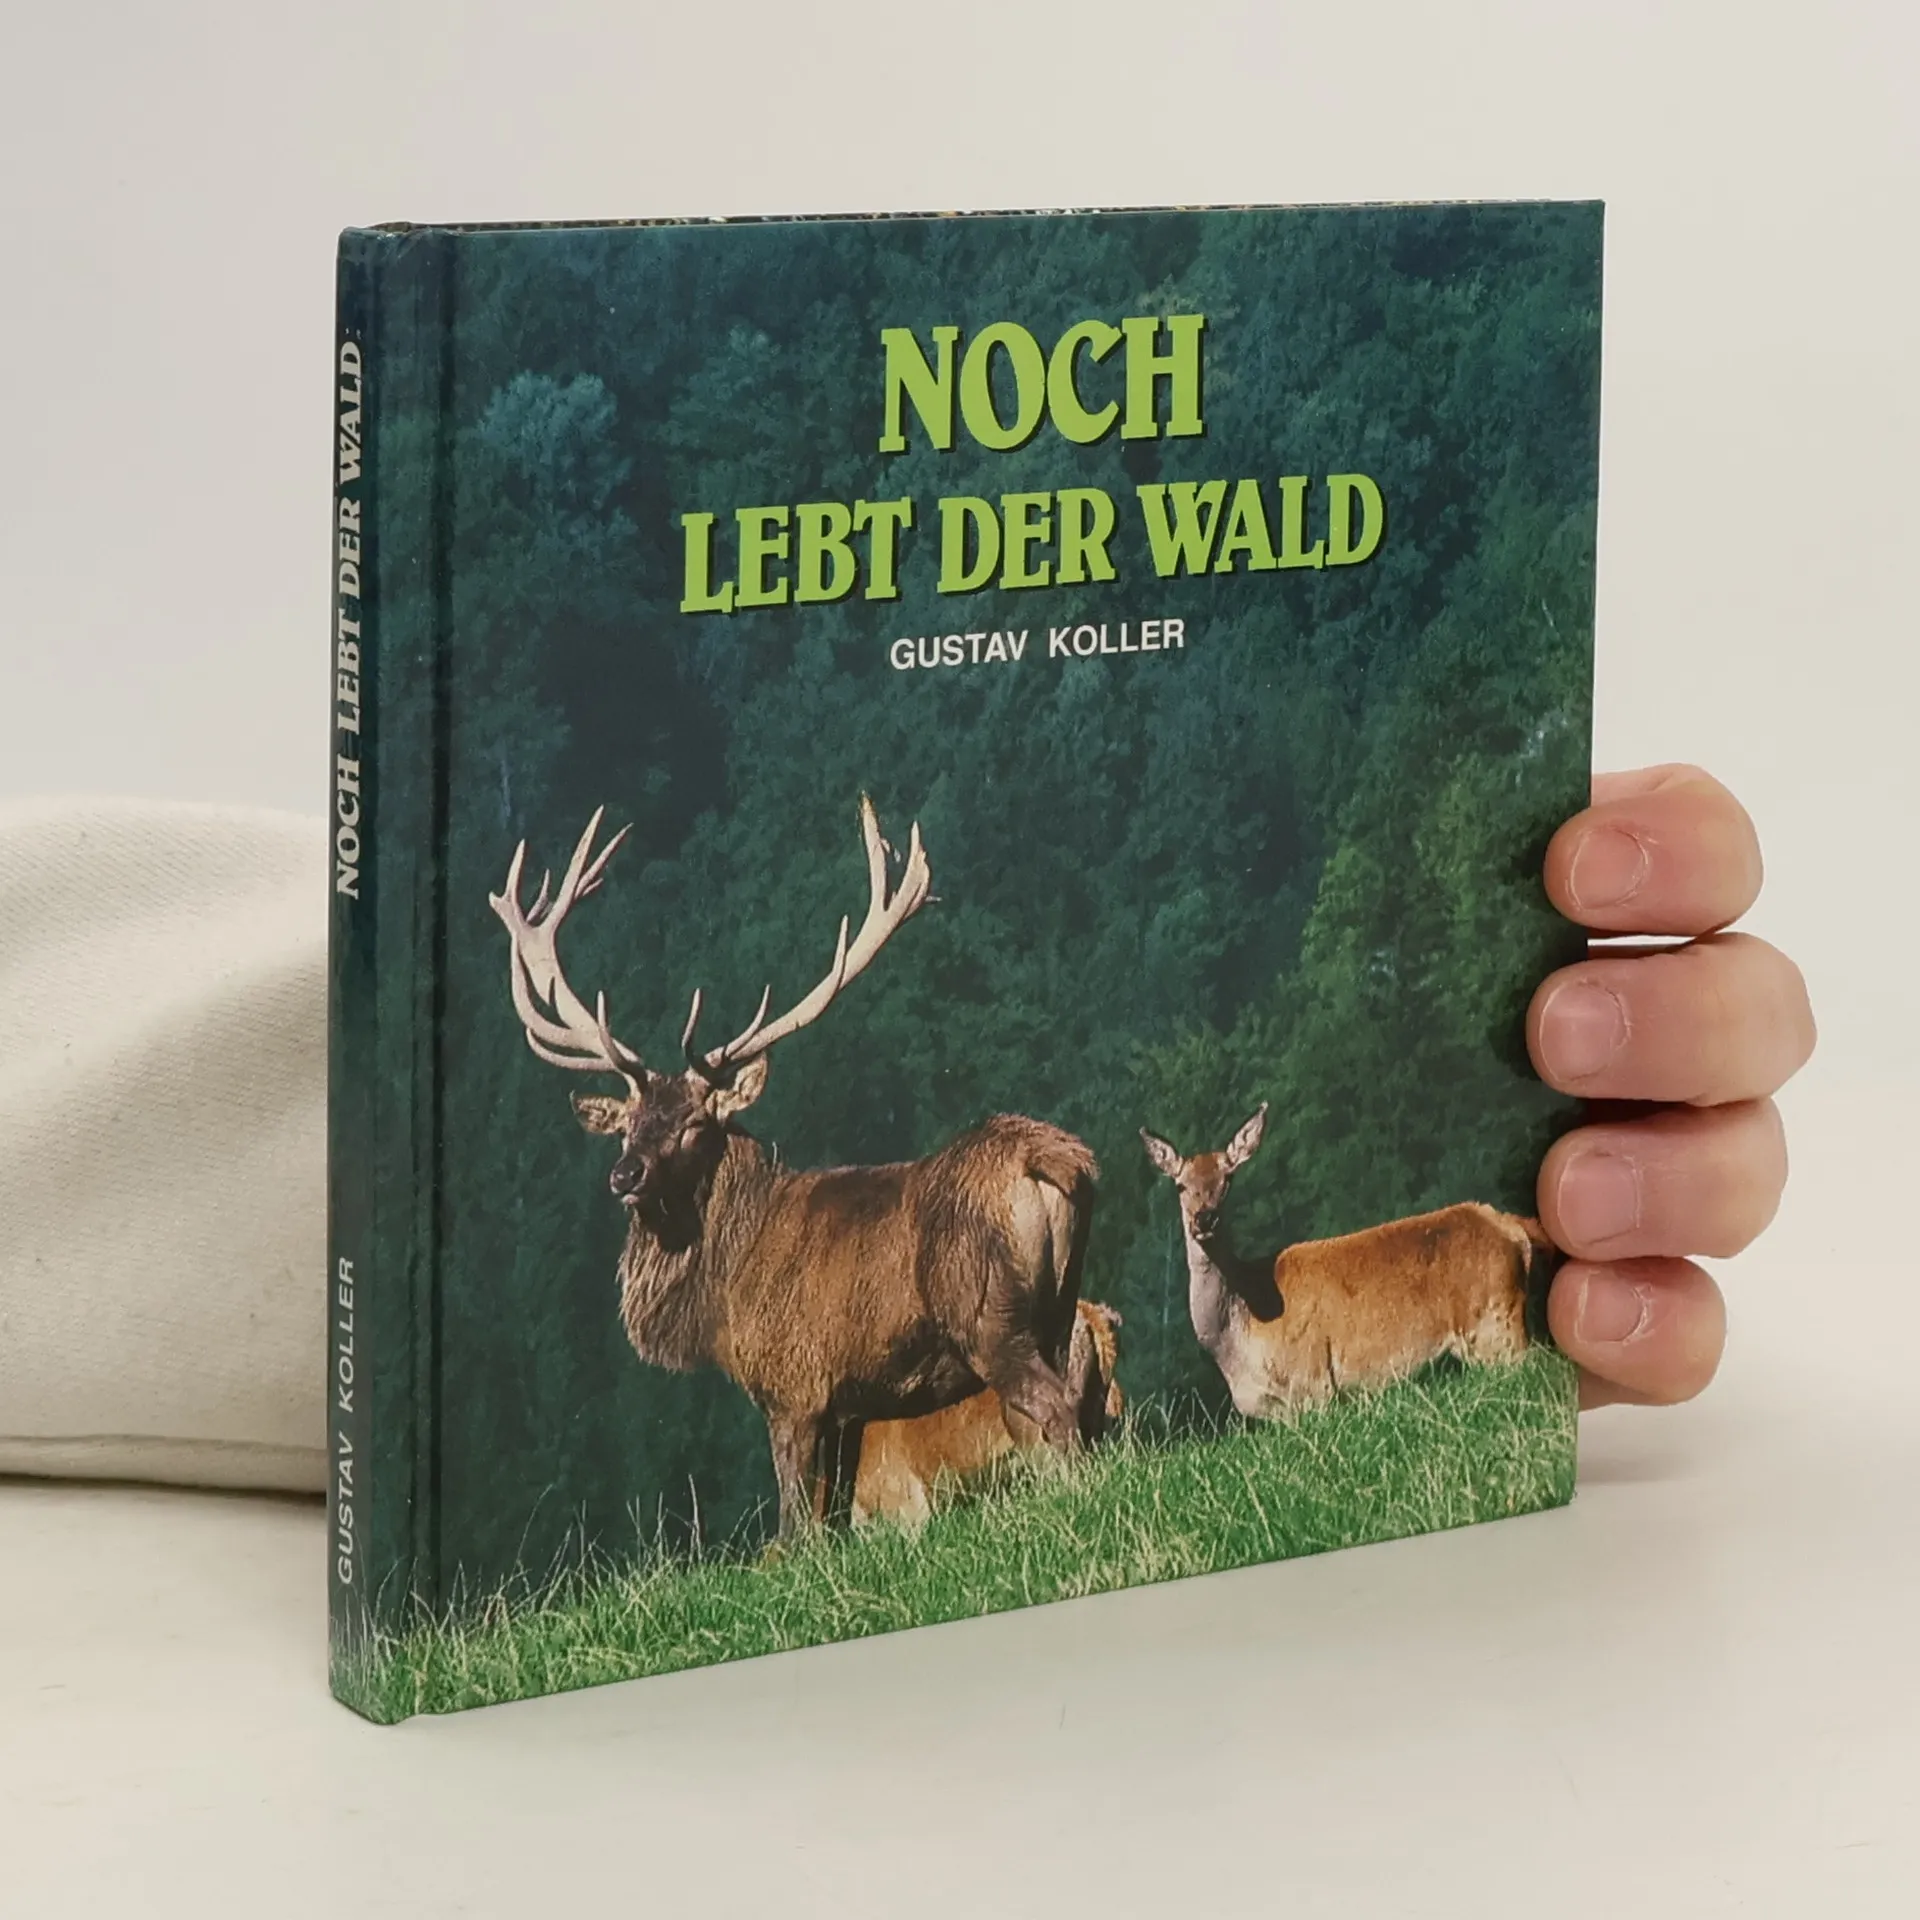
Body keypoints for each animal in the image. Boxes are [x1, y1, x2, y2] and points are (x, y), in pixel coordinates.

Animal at [1140, 1106, 1550, 1421]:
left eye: (1227, 1178)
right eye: (1180, 1184)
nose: (1204, 1219)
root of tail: (1511, 1228)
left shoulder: (1314, 1381)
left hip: (1496, 1323)